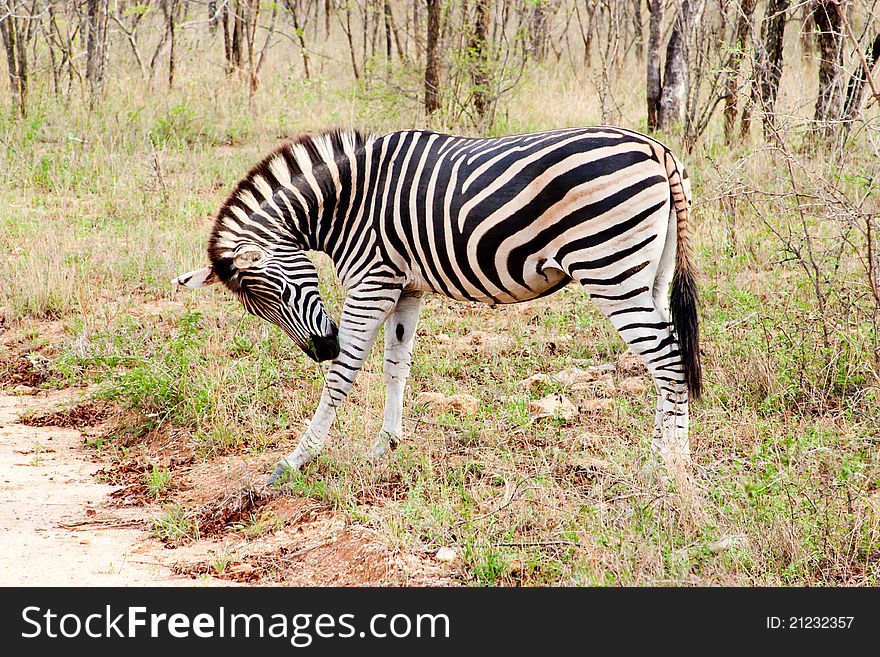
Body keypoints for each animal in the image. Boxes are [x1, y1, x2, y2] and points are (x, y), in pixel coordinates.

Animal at [175, 127, 700, 482]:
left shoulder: (371, 282)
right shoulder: (405, 287)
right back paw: (657, 457)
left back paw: (672, 465)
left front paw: (296, 459)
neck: (345, 202)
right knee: (666, 357)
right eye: (258, 311)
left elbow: (343, 377)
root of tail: (656, 148)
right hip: (649, 273)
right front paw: (385, 446)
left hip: (609, 268)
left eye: (279, 292)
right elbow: (396, 365)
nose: (322, 348)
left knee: (667, 360)